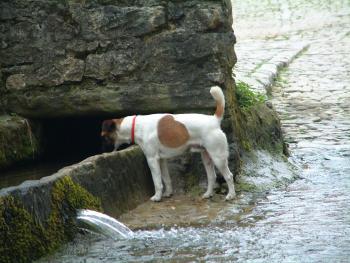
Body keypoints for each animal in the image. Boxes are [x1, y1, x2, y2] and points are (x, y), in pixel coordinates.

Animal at [102, 86, 237, 202]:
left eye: (104, 137)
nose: (102, 150)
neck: (136, 126)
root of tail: (214, 120)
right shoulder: (161, 160)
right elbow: (166, 179)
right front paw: (168, 193)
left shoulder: (152, 159)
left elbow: (157, 181)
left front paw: (157, 197)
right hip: (207, 156)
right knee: (212, 176)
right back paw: (208, 194)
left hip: (218, 157)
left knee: (229, 176)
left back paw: (231, 195)